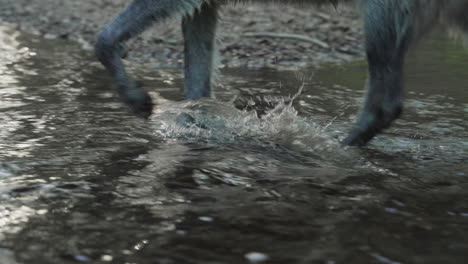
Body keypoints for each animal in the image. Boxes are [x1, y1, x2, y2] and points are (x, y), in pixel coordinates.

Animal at [94, 0, 468, 146]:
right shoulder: (203, 6)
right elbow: (198, 88)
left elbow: (103, 41)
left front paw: (137, 100)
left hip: (380, 21)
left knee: (384, 105)